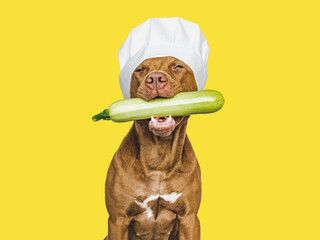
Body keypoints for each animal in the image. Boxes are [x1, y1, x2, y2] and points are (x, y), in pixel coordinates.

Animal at [104, 56, 200, 240]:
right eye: (140, 70)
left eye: (178, 66)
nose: (155, 78)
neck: (158, 154)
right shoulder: (118, 220)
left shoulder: (189, 219)